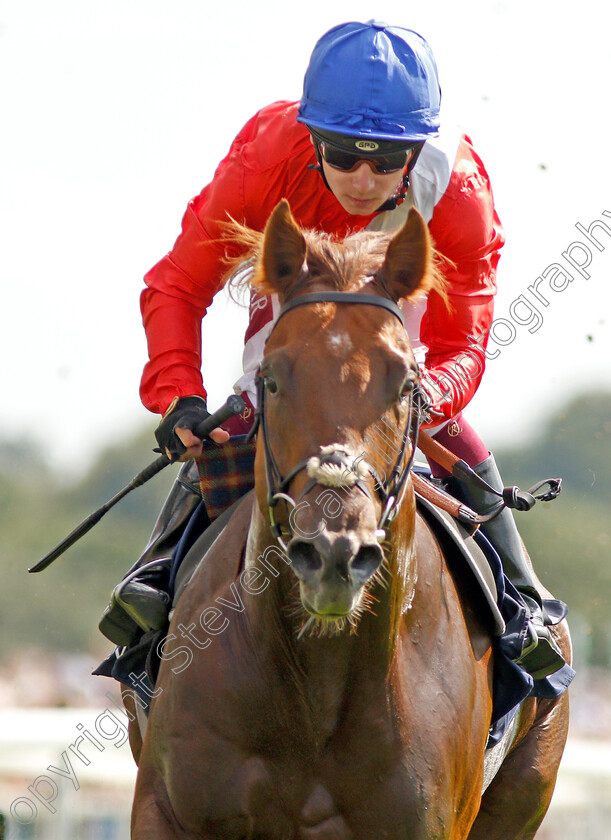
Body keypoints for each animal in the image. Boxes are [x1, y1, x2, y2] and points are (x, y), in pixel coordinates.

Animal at [126, 203, 572, 840]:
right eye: (271, 380)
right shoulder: (166, 810)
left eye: (408, 384)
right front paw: (183, 418)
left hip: (528, 779)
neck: (318, 679)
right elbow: (179, 280)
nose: (333, 553)